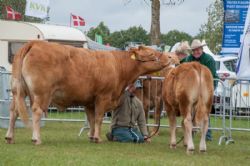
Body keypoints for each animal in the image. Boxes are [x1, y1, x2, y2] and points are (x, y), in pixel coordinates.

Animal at [4, 40, 171, 144]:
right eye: (151, 54)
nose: (169, 57)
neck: (118, 66)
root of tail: (34, 43)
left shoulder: (89, 101)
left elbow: (91, 119)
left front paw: (91, 136)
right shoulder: (103, 97)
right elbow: (98, 118)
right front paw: (97, 138)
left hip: (19, 91)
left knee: (13, 111)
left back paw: (9, 137)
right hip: (41, 94)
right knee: (37, 111)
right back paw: (36, 139)